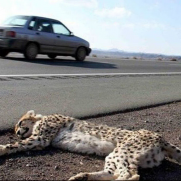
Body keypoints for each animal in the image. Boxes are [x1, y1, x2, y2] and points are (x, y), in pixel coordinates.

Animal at [0, 109, 180, 180]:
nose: (17, 132)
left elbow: (16, 144)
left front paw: (2, 148)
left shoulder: (41, 139)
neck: (40, 119)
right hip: (121, 156)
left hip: (122, 152)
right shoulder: (39, 141)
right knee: (117, 173)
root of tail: (160, 137)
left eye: (20, 123)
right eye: (15, 128)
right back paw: (82, 177)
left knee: (129, 175)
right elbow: (21, 144)